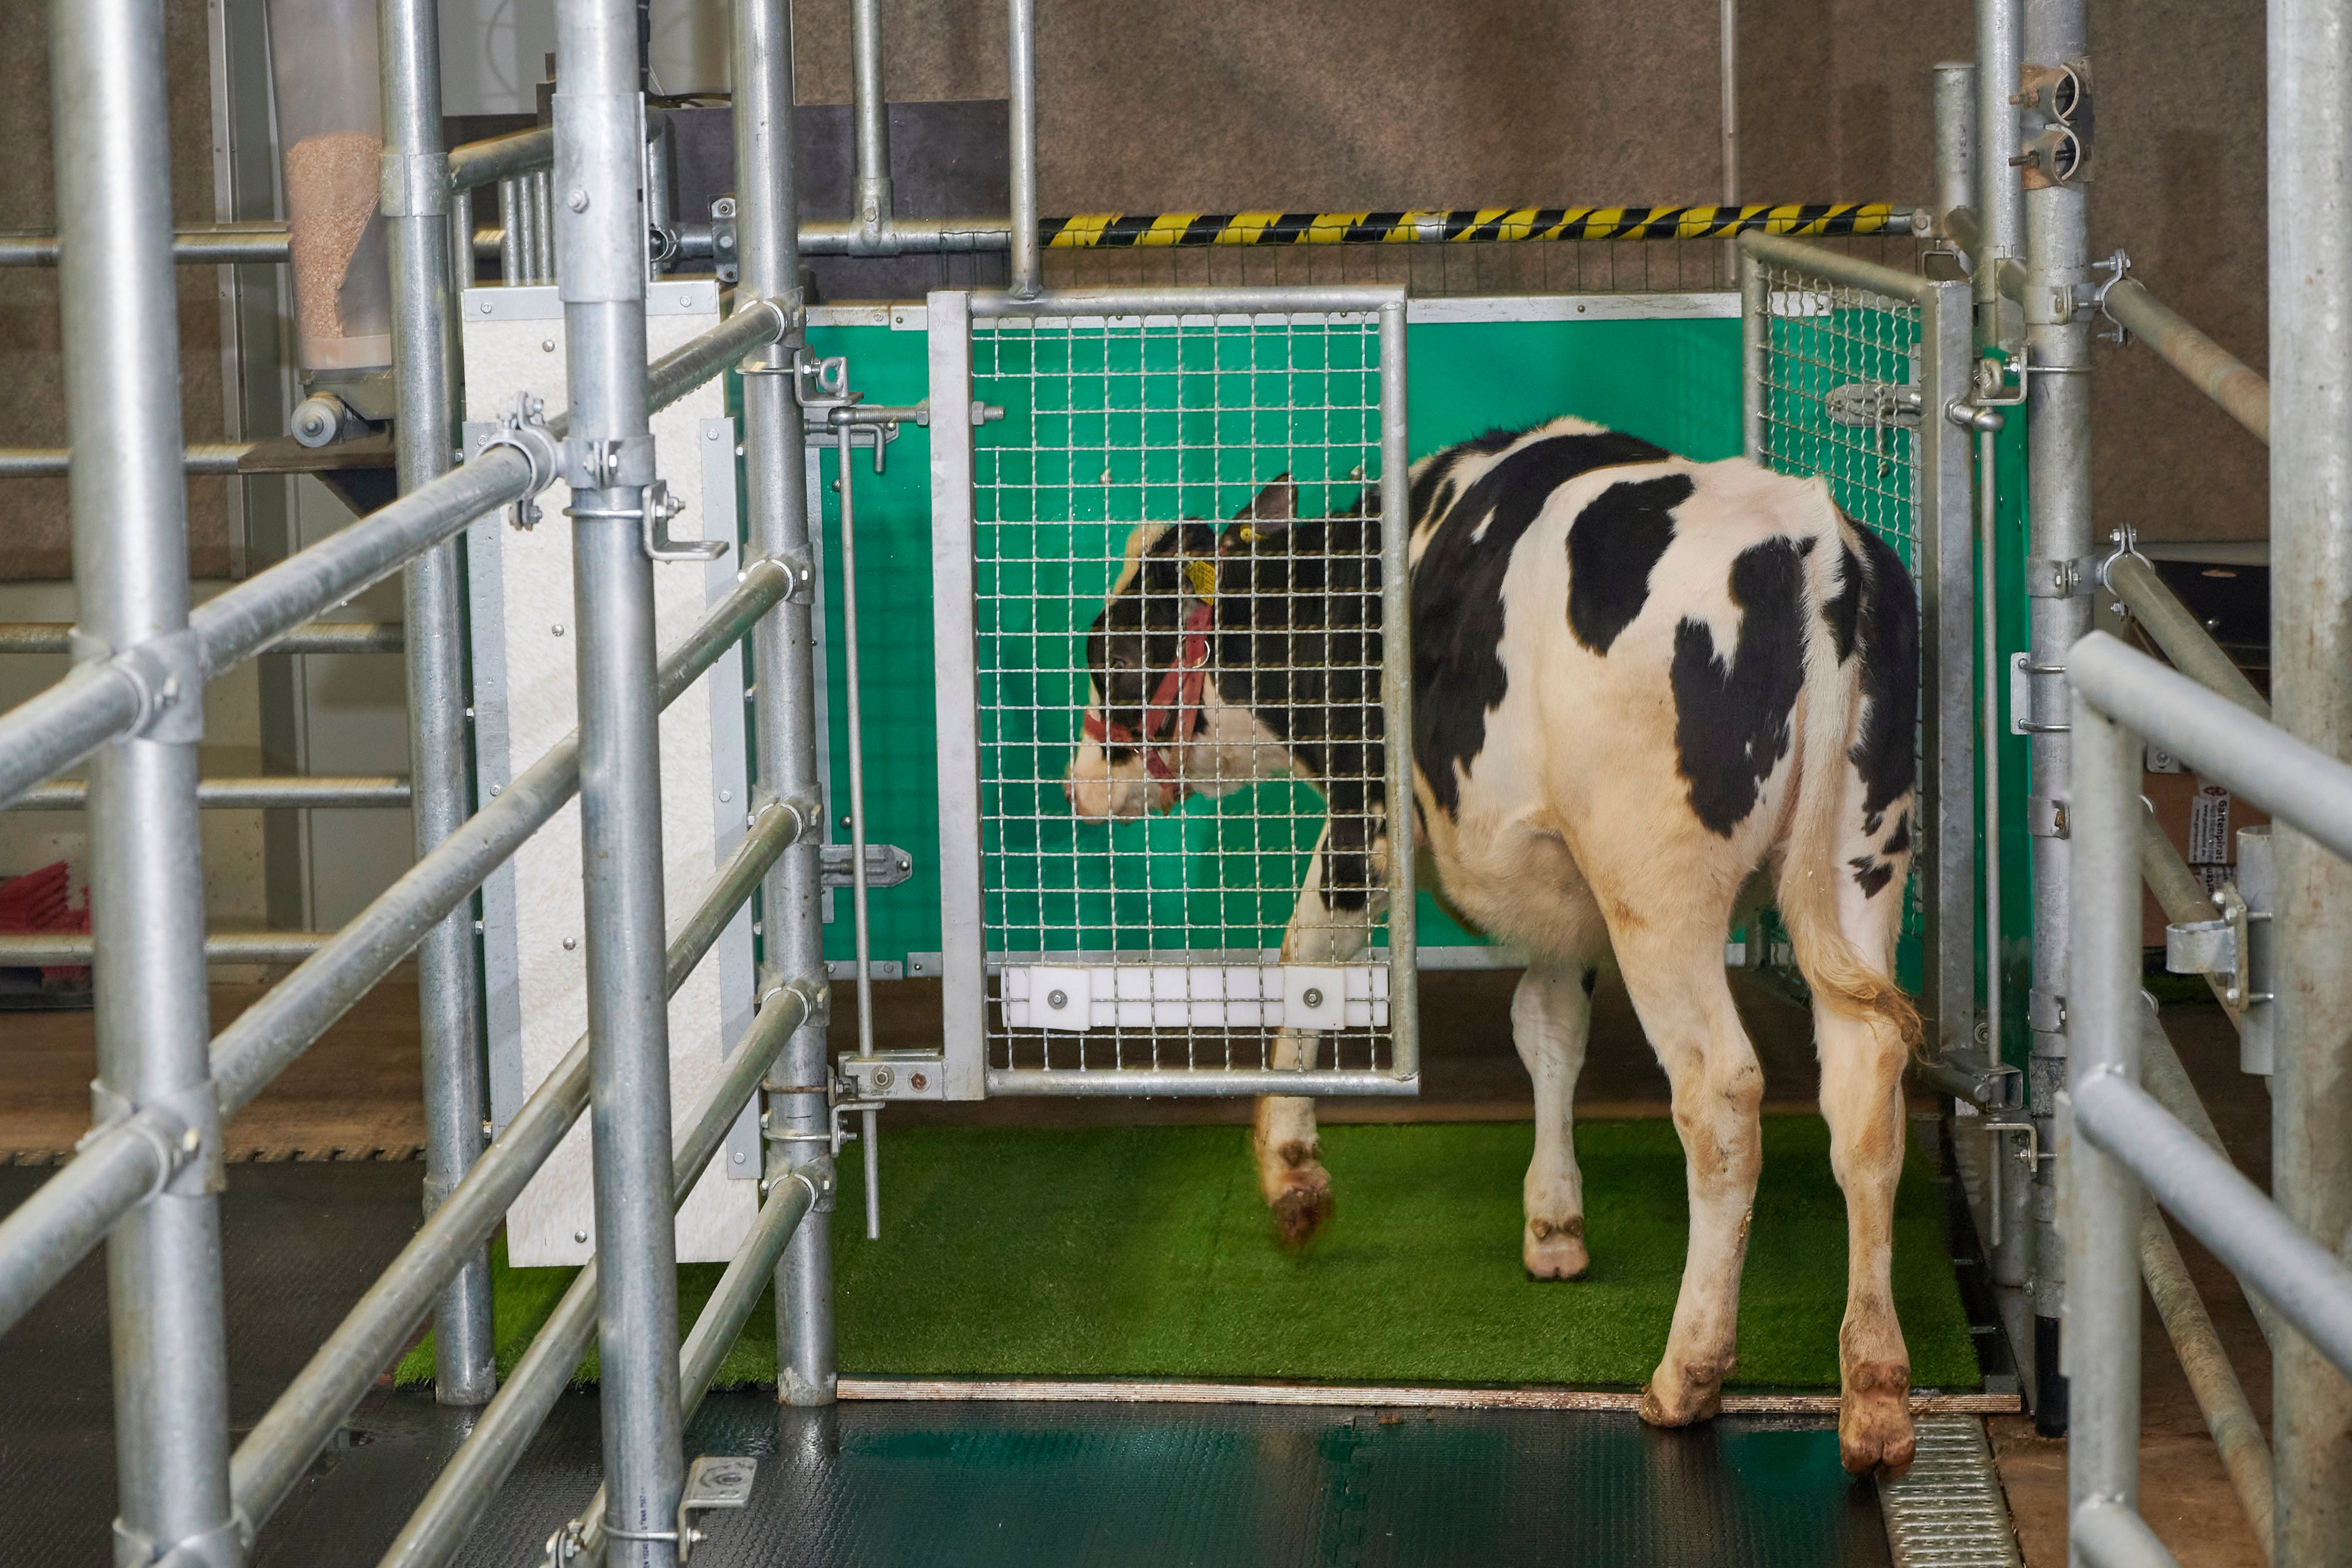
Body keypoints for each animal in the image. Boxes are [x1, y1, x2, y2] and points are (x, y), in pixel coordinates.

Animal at [1072, 414, 1928, 1476]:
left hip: (1658, 886)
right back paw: (1874, 1391)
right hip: (1862, 857)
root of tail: (1813, 544)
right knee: (1865, 1088)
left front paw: (1289, 1169)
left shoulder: (1366, 815)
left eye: (1110, 649)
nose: (1075, 783)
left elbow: (1309, 954)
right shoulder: (1561, 891)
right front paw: (1553, 1222)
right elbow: (1548, 1027)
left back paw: (1687, 1372)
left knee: (1720, 1098)